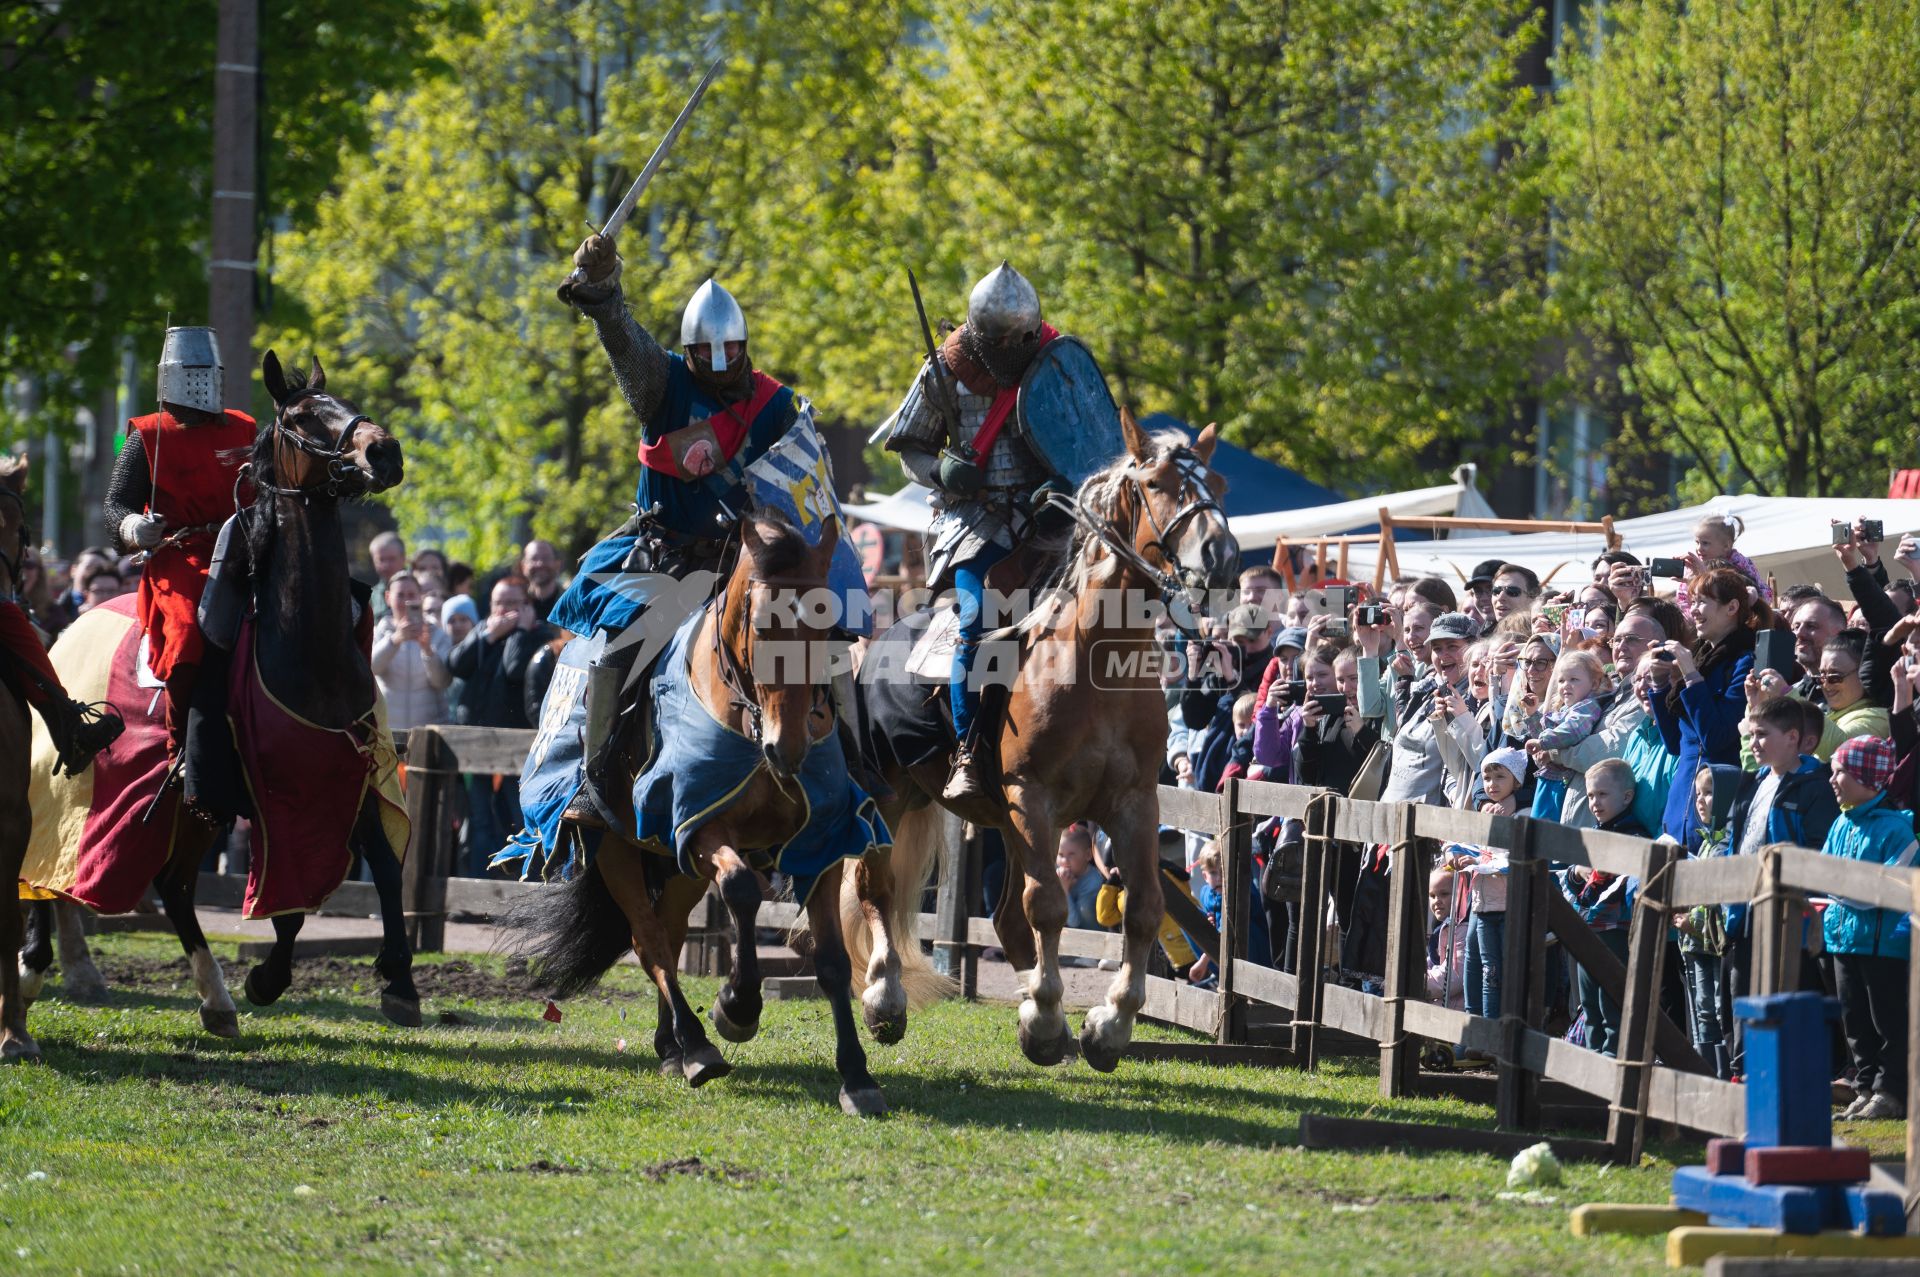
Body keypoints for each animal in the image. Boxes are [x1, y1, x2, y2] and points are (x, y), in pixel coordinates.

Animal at [503, 506, 906, 1113]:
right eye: (760, 626)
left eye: (826, 630)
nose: (788, 749)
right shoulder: (697, 825)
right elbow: (740, 890)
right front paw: (736, 1006)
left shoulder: (822, 839)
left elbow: (833, 960)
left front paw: (857, 1076)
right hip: (618, 848)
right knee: (649, 942)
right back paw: (695, 1046)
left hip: (675, 868)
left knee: (669, 936)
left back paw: (671, 1044)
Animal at [844, 412, 1236, 1067]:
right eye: (1157, 483)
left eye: (1221, 487)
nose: (1224, 556)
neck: (1095, 663)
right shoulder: (1033, 799)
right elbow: (1048, 906)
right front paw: (1052, 1015)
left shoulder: (1132, 804)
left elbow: (1143, 908)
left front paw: (1105, 1024)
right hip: (891, 797)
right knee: (878, 887)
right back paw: (885, 1000)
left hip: (997, 820)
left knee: (1003, 917)